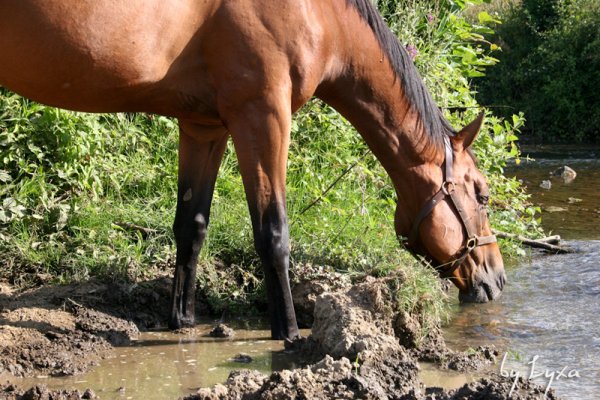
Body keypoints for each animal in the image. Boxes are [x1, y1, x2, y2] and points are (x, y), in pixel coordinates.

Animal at [0, 0, 506, 340]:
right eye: (482, 195)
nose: (497, 279)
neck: (319, 14)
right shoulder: (263, 114)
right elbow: (273, 233)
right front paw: (290, 335)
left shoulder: (203, 126)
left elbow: (192, 226)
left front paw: (182, 321)